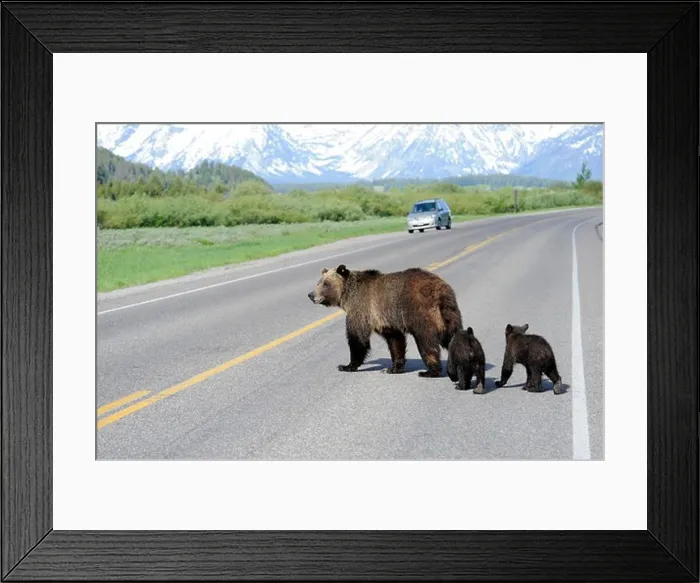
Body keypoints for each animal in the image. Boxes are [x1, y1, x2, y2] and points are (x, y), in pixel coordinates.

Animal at [307, 264, 462, 377]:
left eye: (325, 284)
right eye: (319, 282)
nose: (311, 295)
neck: (347, 296)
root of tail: (440, 290)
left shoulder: (361, 309)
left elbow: (357, 338)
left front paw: (347, 365)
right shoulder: (385, 319)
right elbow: (395, 340)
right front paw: (393, 368)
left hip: (421, 313)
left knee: (426, 342)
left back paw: (430, 371)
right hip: (450, 313)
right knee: (454, 336)